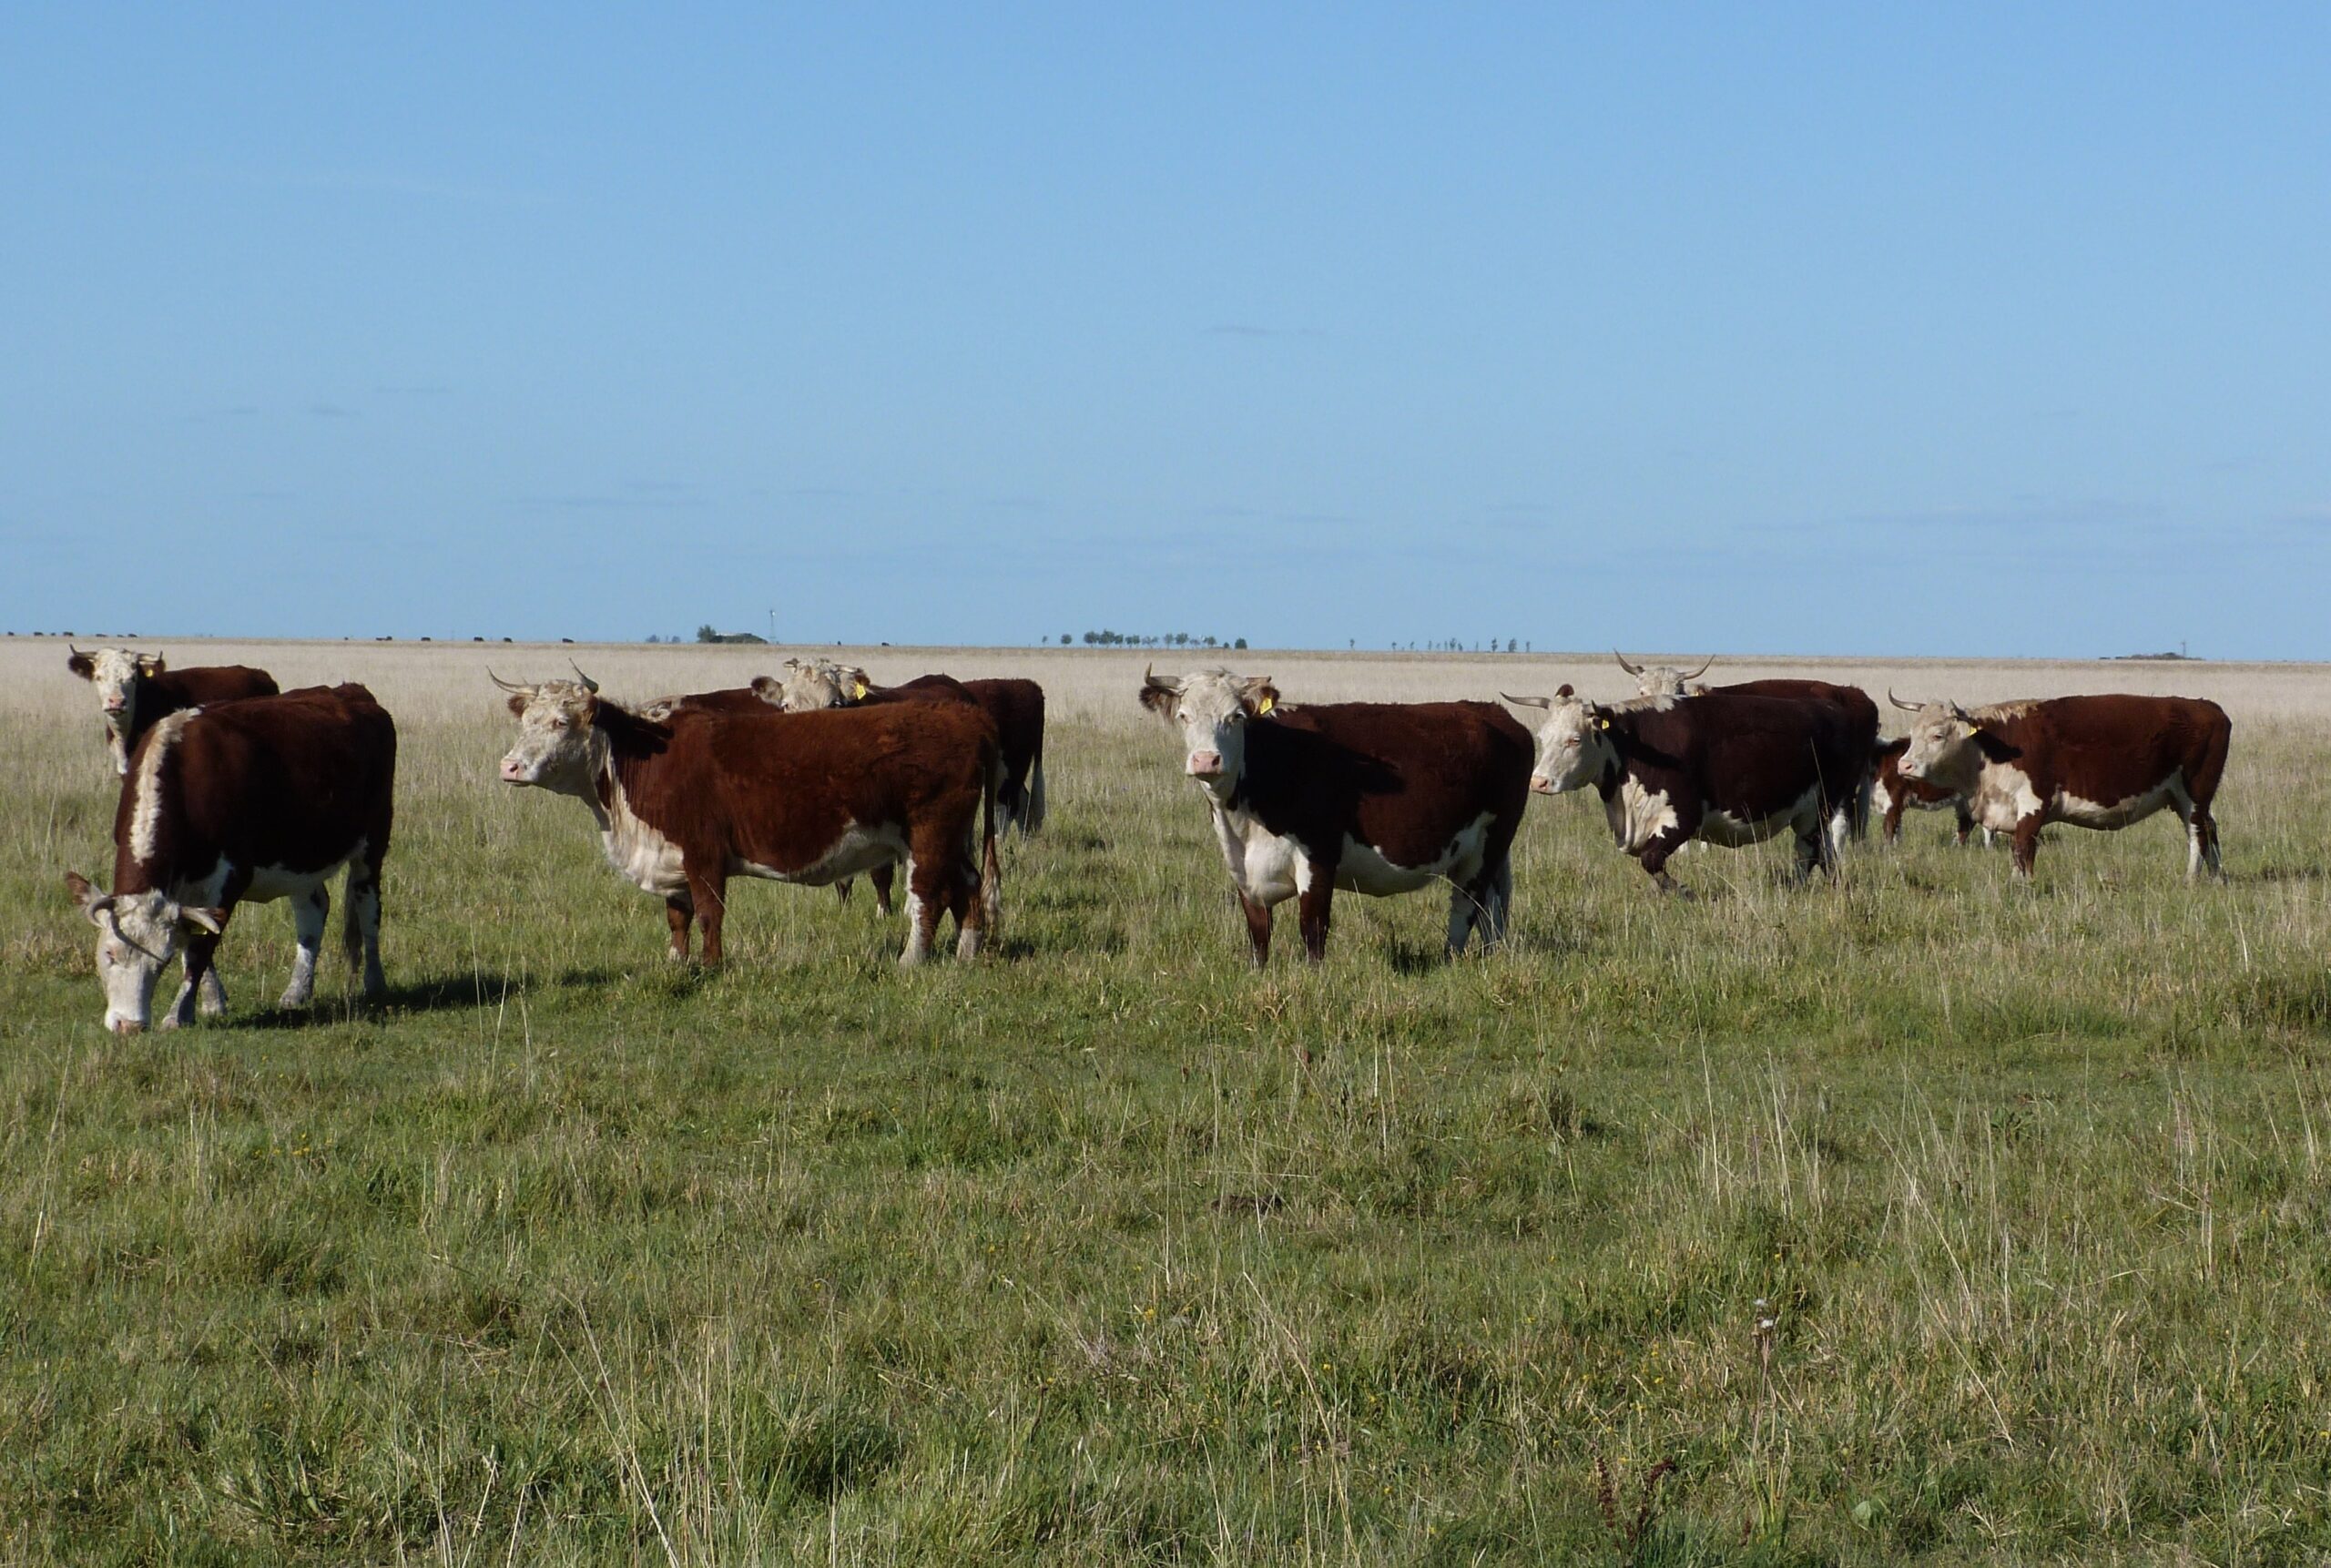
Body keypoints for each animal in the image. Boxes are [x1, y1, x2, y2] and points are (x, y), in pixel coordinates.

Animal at [60, 680, 396, 1024]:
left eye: (162, 961)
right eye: (108, 953)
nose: (130, 1025)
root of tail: (352, 691)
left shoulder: (231, 878)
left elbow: (200, 948)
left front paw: (179, 1014)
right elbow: (192, 940)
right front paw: (212, 1002)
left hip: (373, 842)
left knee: (368, 908)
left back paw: (374, 983)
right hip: (301, 856)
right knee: (312, 908)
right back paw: (297, 991)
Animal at [492, 666, 1002, 960]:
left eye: (561, 721)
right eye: (525, 721)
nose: (509, 766)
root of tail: (965, 717)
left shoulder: (704, 854)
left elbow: (708, 915)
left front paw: (711, 968)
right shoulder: (671, 858)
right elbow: (677, 918)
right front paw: (677, 965)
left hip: (930, 834)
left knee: (928, 896)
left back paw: (911, 962)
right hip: (951, 838)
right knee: (969, 887)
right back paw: (967, 953)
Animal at [1142, 666, 1538, 960]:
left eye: (1236, 717)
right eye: (1184, 716)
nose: (1206, 760)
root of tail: (1491, 711)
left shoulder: (1318, 857)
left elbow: (1313, 931)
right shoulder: (1242, 870)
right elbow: (1259, 936)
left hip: (1490, 843)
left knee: (1465, 907)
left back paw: (1449, 960)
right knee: (1490, 910)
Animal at [1883, 689, 2228, 876]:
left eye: (1938, 735)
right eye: (1912, 734)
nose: (1904, 765)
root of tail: (2205, 706)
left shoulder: (2033, 805)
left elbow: (2023, 849)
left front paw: (2020, 887)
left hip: (2196, 793)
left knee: (2198, 835)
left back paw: (2190, 880)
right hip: (2180, 797)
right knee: (2208, 830)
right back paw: (2217, 878)